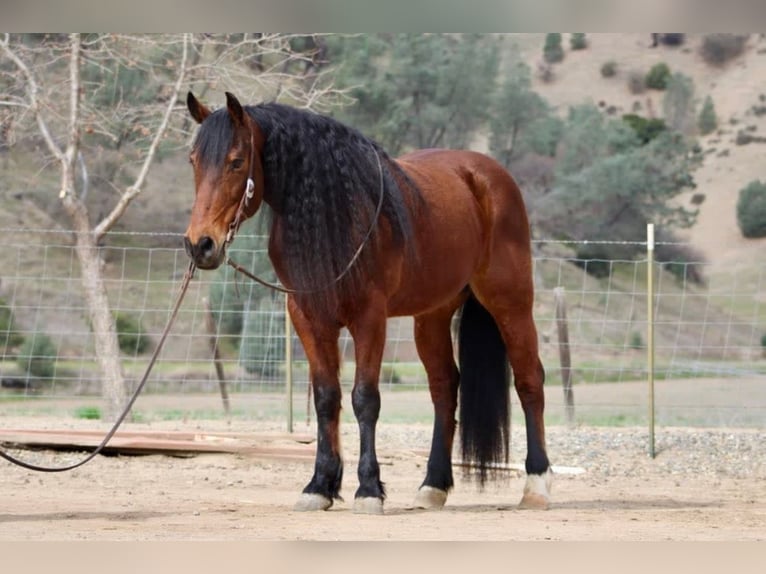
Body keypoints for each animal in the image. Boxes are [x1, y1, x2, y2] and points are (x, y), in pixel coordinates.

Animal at [183, 92, 556, 516]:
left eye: (236, 161)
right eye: (194, 161)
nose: (201, 244)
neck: (336, 215)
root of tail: (488, 175)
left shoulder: (369, 318)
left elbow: (365, 399)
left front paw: (368, 489)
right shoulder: (308, 318)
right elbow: (326, 398)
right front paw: (319, 486)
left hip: (510, 301)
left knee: (529, 380)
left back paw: (536, 484)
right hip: (431, 316)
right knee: (445, 388)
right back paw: (432, 486)